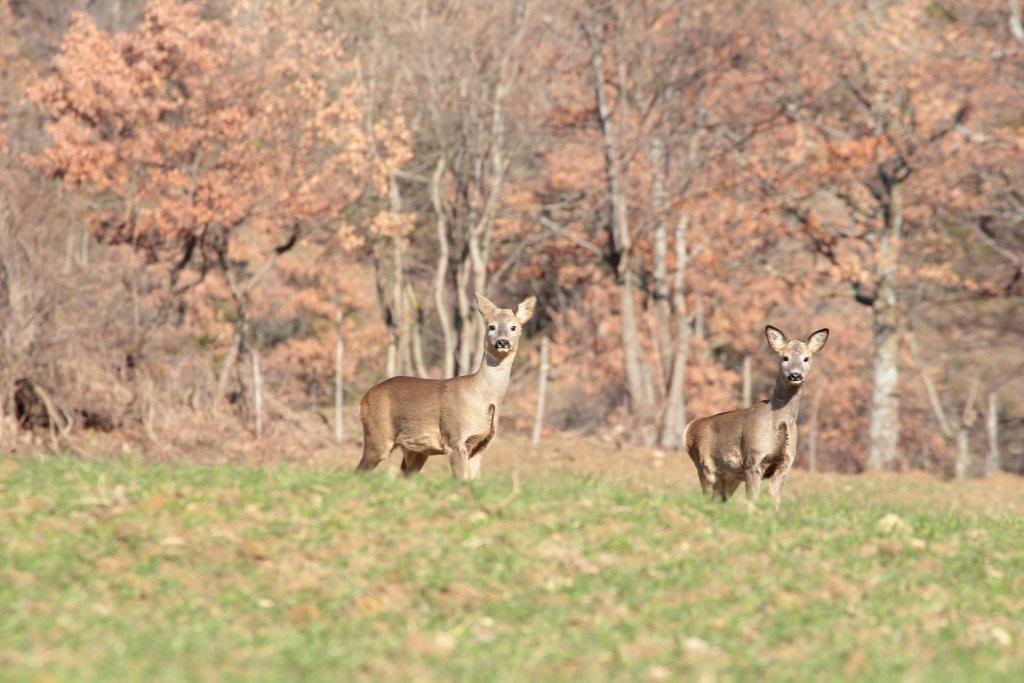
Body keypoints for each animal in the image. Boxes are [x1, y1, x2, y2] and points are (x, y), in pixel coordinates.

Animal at [354, 292, 536, 481]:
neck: (483, 397)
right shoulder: (455, 439)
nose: (502, 342)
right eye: (491, 327)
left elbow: (473, 482)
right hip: (378, 434)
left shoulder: (479, 446)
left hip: (416, 450)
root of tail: (364, 399)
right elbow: (461, 481)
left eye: (513, 327)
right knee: (358, 471)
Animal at [684, 325, 827, 507]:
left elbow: (775, 503)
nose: (795, 375)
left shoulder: (784, 464)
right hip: (705, 467)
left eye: (806, 358)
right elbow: (753, 499)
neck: (777, 423)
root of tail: (689, 428)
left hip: (729, 477)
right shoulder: (753, 460)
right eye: (784, 357)